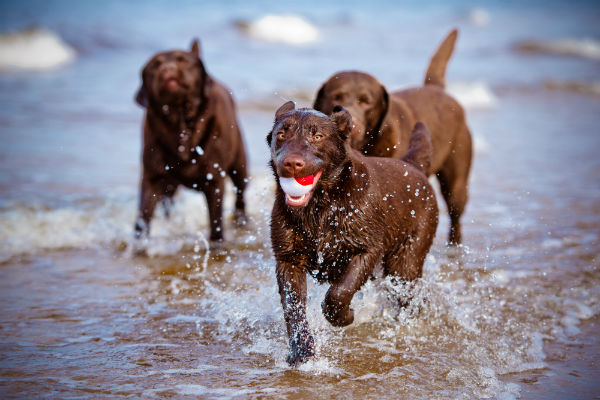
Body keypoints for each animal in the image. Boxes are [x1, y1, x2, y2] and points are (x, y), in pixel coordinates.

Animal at [270, 102, 438, 366]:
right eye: (281, 134)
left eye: (317, 136)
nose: (291, 163)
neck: (321, 206)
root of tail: (413, 166)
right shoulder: (288, 260)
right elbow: (293, 307)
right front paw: (302, 351)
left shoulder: (366, 249)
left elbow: (339, 292)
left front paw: (345, 316)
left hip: (404, 264)